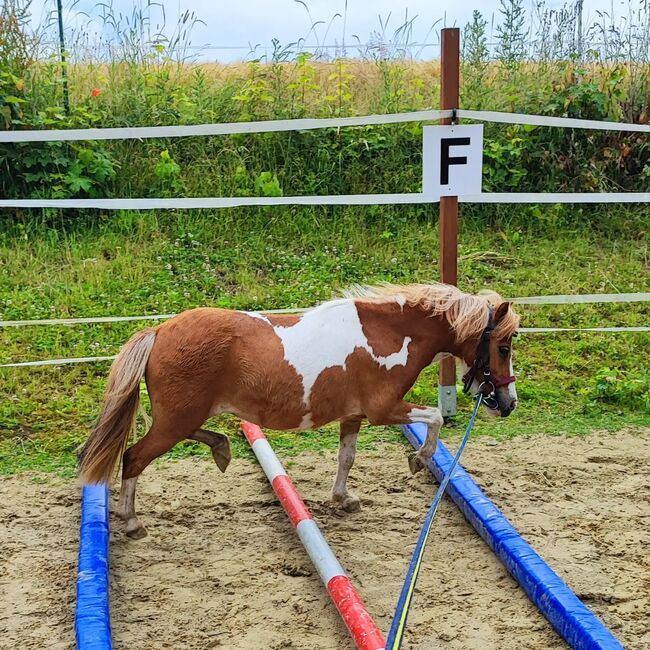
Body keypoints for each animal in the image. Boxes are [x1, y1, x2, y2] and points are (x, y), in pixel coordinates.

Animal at [79, 282, 516, 536]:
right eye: (503, 347)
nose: (508, 404)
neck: (389, 335)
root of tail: (159, 330)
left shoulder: (354, 416)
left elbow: (347, 458)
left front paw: (343, 498)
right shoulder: (384, 409)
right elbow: (436, 417)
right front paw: (418, 459)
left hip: (183, 416)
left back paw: (221, 449)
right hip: (175, 419)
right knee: (134, 457)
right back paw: (132, 521)